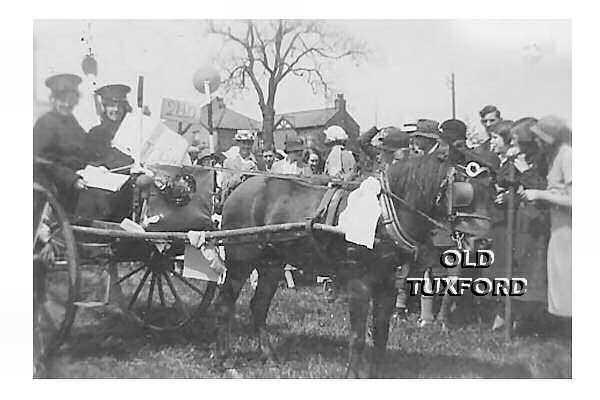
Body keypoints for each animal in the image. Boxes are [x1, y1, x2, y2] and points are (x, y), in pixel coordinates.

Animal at [213, 152, 494, 376]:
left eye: (492, 194)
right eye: (465, 194)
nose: (483, 241)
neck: (384, 216)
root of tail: (239, 188)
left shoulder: (387, 285)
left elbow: (380, 333)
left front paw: (376, 374)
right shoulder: (360, 284)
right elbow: (358, 336)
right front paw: (353, 375)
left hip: (271, 264)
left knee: (259, 306)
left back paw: (269, 356)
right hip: (240, 261)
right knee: (224, 304)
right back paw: (224, 360)